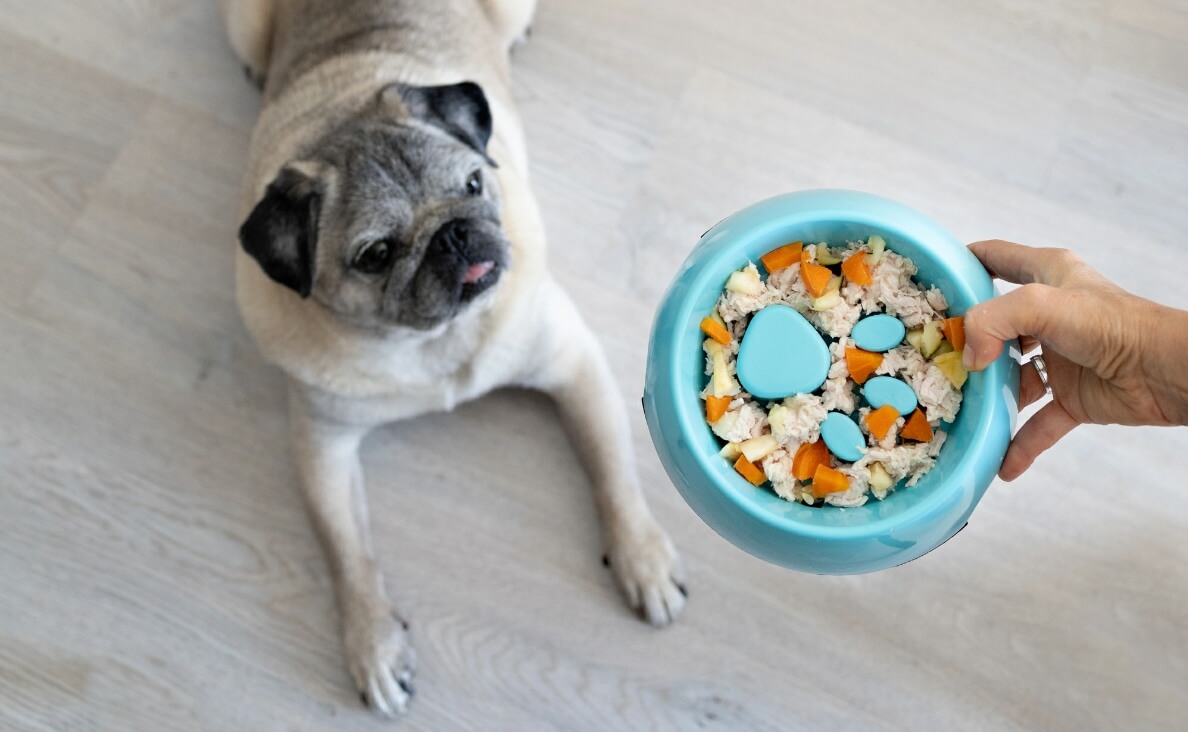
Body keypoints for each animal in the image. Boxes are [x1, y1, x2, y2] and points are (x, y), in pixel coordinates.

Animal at [220, 0, 689, 717]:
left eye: (474, 183)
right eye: (376, 254)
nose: (453, 233)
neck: (433, 341)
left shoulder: (574, 365)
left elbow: (613, 472)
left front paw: (641, 559)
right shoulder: (323, 447)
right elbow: (347, 554)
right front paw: (373, 643)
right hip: (242, 24)